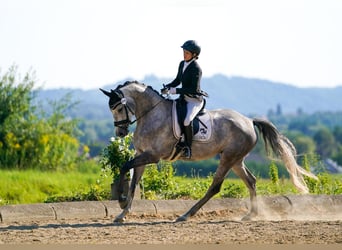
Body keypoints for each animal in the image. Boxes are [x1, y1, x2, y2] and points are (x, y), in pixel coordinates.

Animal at [99, 80, 318, 223]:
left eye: (118, 108)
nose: (120, 133)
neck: (151, 114)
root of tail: (249, 120)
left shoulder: (152, 156)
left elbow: (124, 166)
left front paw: (120, 200)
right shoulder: (141, 154)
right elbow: (133, 182)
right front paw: (122, 212)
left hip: (229, 158)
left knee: (215, 186)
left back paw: (186, 215)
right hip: (236, 160)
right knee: (251, 181)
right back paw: (250, 215)